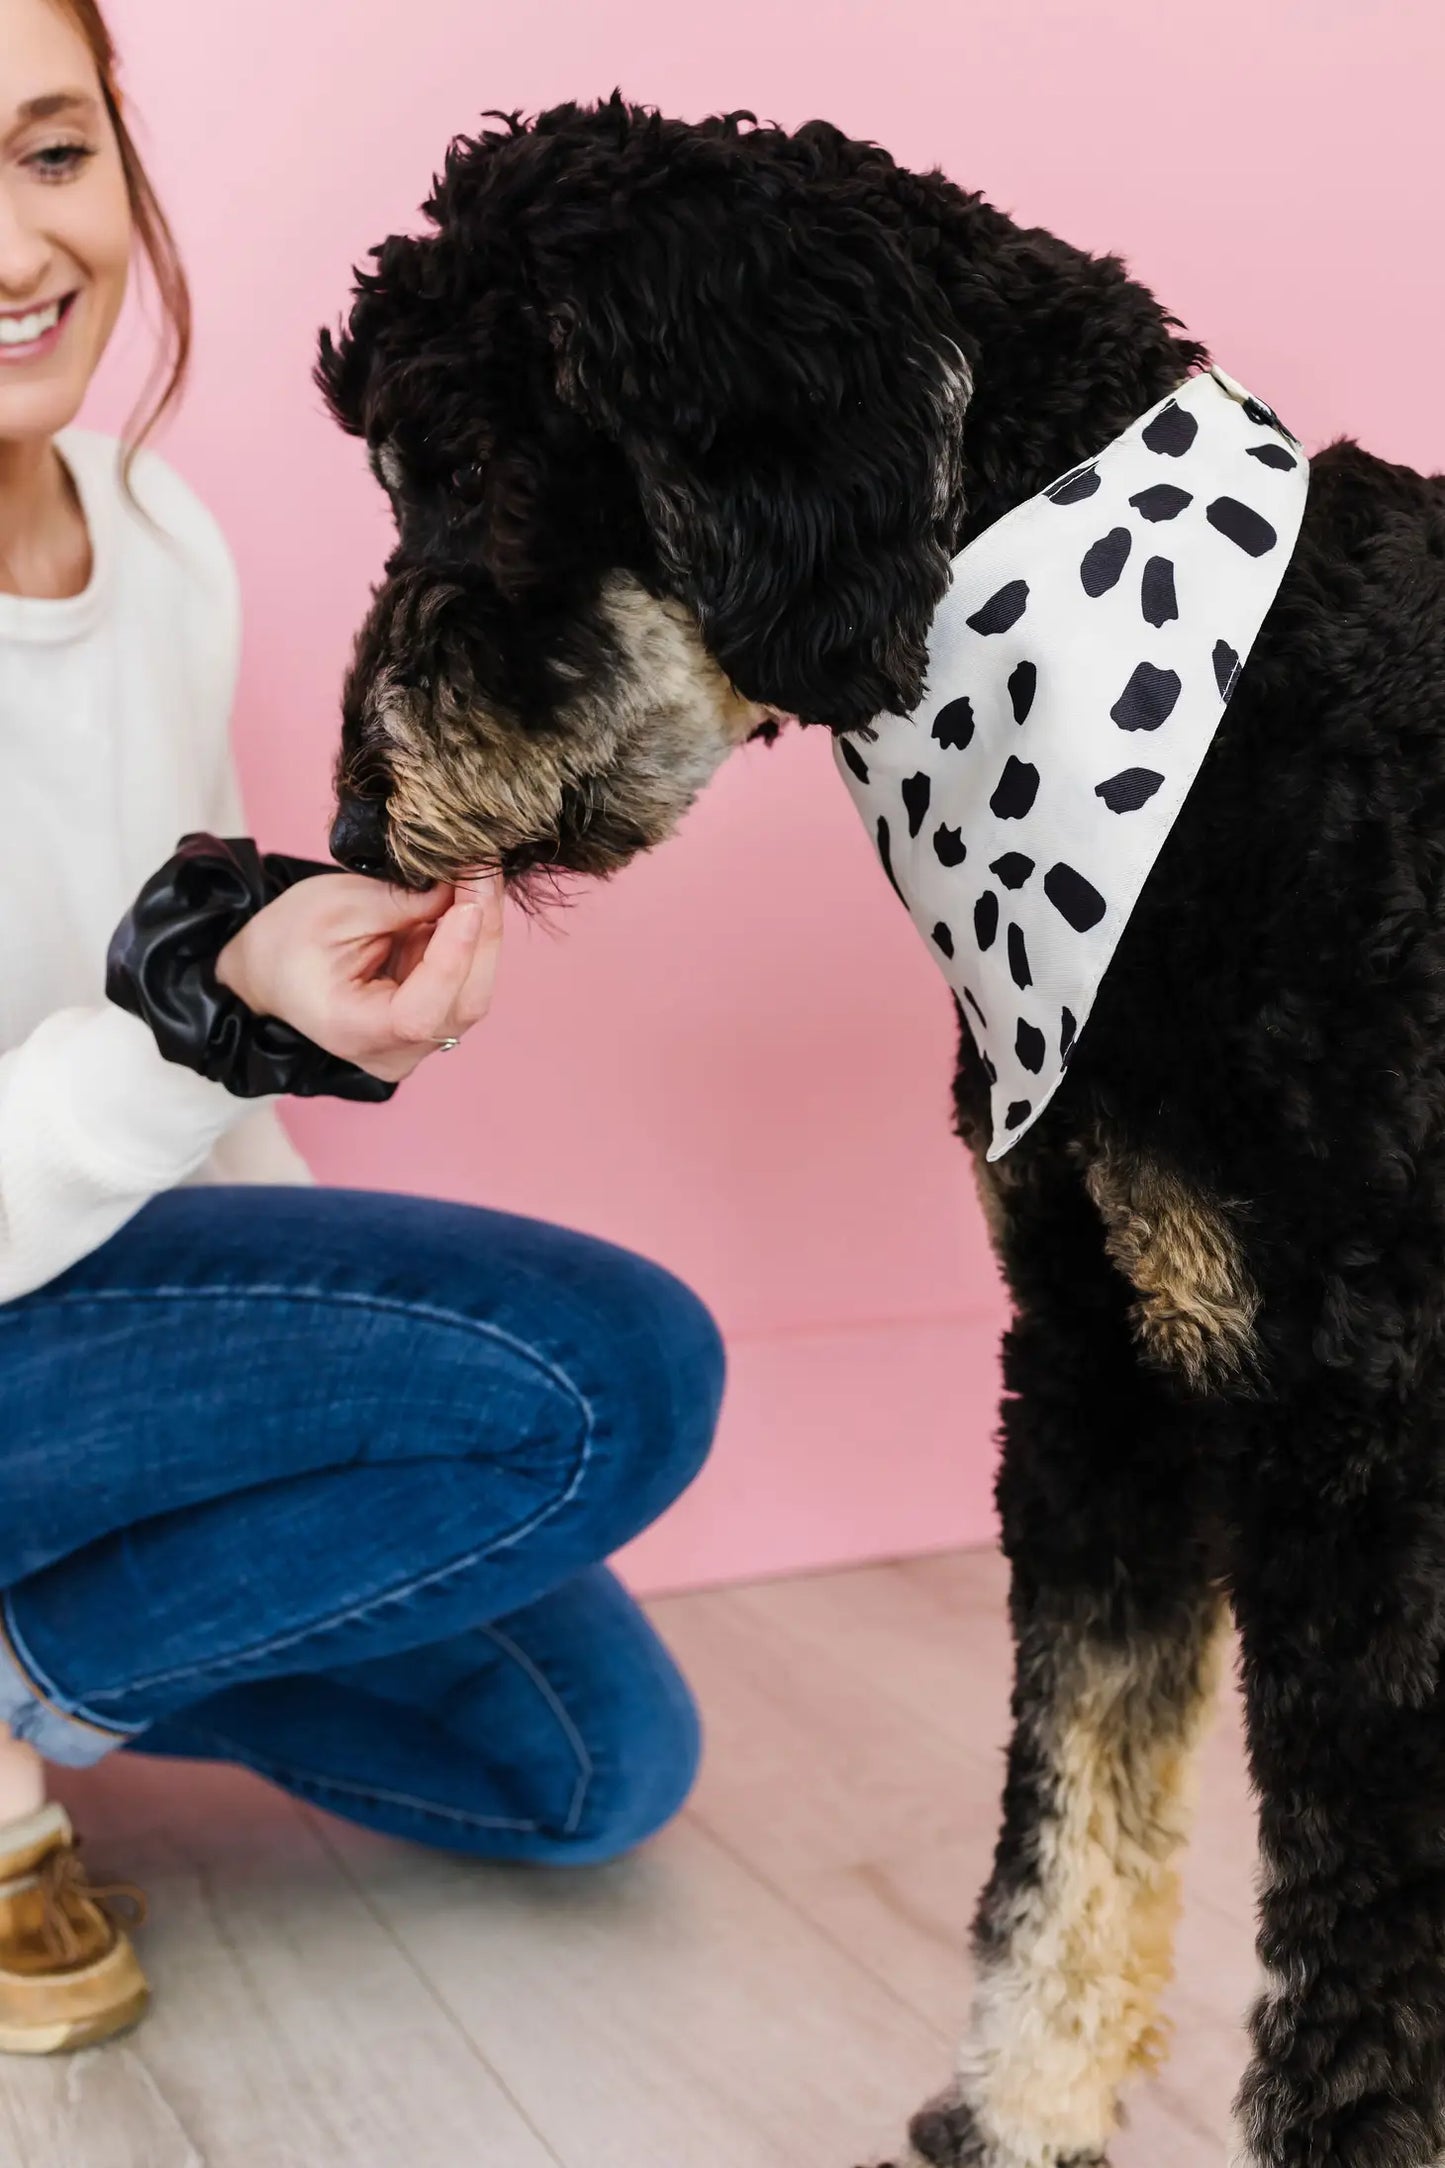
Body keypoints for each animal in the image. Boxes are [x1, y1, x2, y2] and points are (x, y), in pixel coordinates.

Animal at [322, 93, 1445, 2159]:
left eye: (468, 466)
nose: (355, 815)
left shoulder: (1367, 1440)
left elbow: (1359, 1948)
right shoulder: (1098, 1365)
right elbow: (1076, 1799)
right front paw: (1016, 2108)